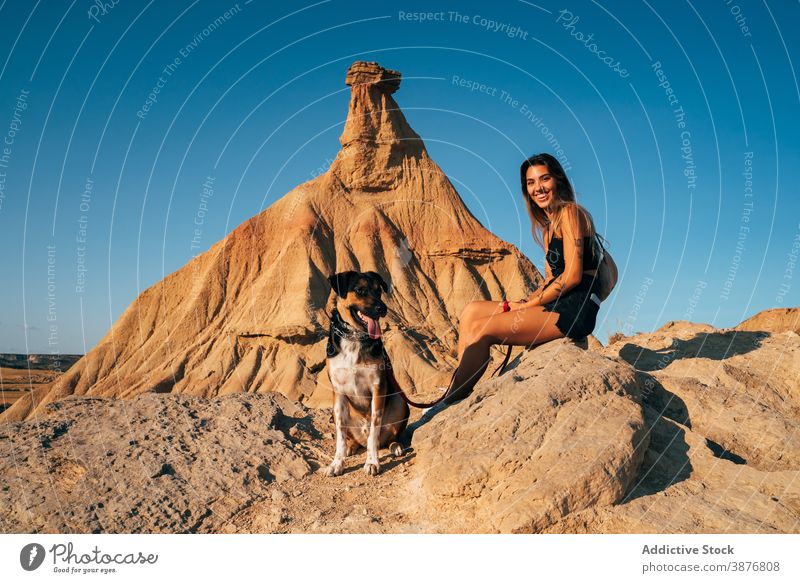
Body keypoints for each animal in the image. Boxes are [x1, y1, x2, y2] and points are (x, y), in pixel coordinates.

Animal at [324, 272, 410, 476]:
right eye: (360, 290)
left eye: (378, 291)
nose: (382, 308)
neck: (354, 337)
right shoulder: (338, 392)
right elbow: (340, 435)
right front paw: (337, 463)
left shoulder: (377, 387)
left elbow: (374, 431)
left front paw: (372, 462)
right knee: (352, 438)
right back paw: (351, 447)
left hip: (400, 401)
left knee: (386, 437)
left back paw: (395, 446)